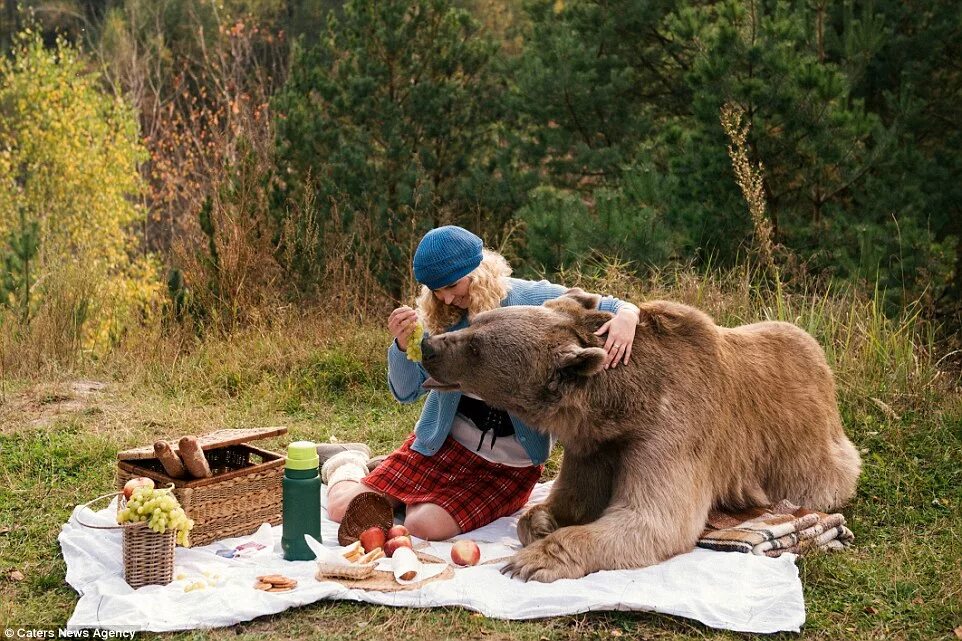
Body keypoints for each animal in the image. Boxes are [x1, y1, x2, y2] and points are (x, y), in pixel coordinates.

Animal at [420, 288, 864, 580]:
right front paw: (542, 522)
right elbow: (573, 497)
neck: (621, 408)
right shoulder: (593, 445)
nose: (429, 345)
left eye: (476, 346)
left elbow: (652, 518)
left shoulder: (671, 431)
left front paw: (535, 559)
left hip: (814, 457)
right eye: (476, 323)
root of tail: (821, 357)